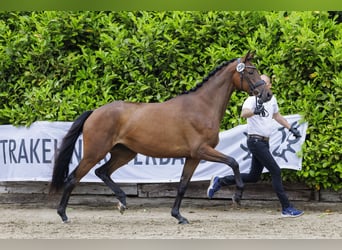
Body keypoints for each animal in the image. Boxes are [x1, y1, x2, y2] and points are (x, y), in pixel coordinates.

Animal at [49, 51, 272, 224]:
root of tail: (94, 112)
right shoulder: (202, 150)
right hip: (94, 153)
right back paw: (63, 215)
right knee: (73, 178)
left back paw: (122, 202)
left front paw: (178, 216)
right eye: (250, 71)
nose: (267, 95)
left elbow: (182, 185)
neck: (202, 106)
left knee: (102, 172)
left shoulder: (193, 157)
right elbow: (233, 162)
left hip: (124, 153)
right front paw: (237, 196)